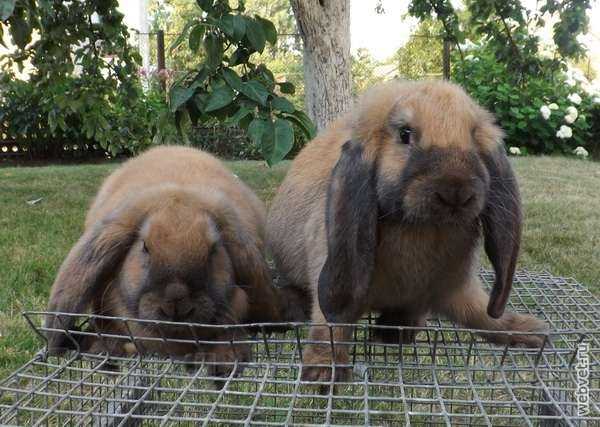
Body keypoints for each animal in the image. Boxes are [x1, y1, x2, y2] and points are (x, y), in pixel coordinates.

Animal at [268, 80, 548, 382]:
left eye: (474, 135)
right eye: (405, 133)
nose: (456, 191)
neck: (422, 230)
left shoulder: (449, 288)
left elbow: (483, 316)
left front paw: (531, 331)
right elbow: (329, 324)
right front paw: (322, 372)